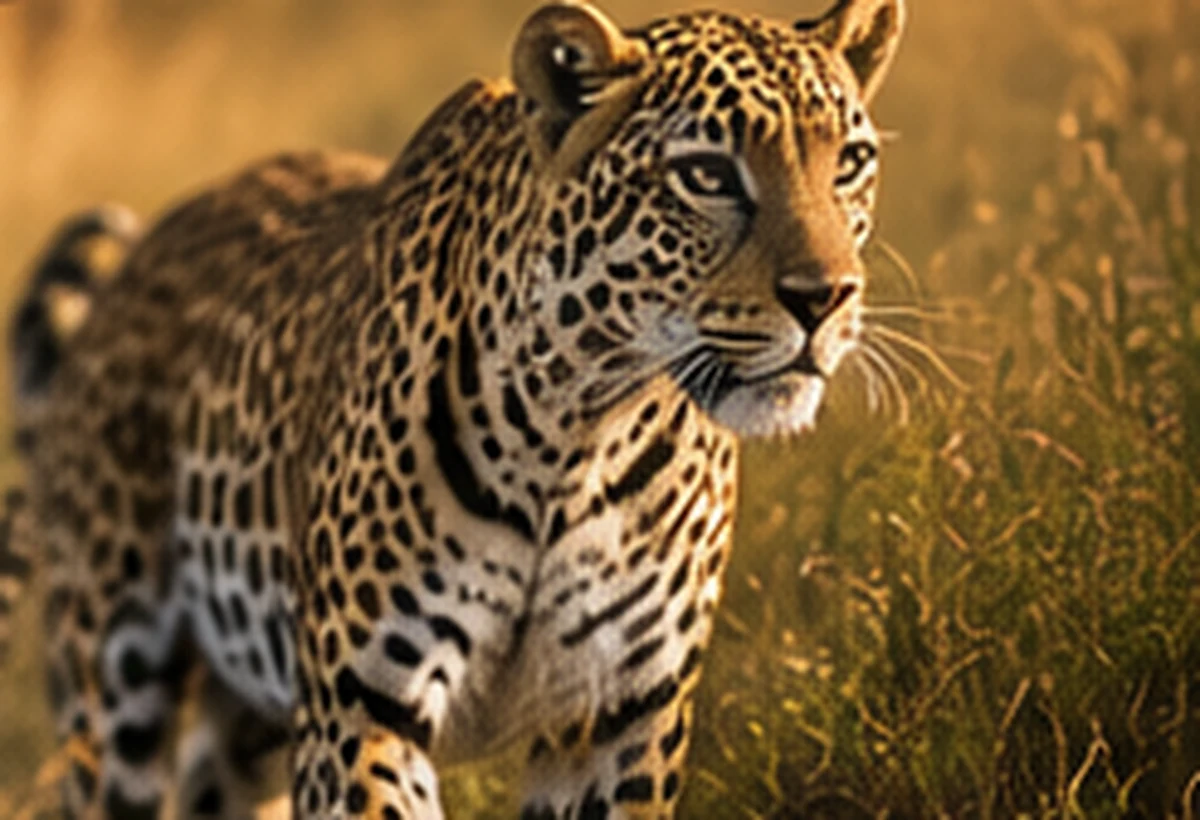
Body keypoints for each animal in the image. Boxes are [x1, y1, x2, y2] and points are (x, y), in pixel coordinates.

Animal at [3, 0, 905, 816]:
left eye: (851, 161)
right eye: (708, 175)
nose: (826, 298)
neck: (583, 426)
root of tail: (134, 256)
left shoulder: (619, 719)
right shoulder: (361, 707)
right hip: (115, 683)